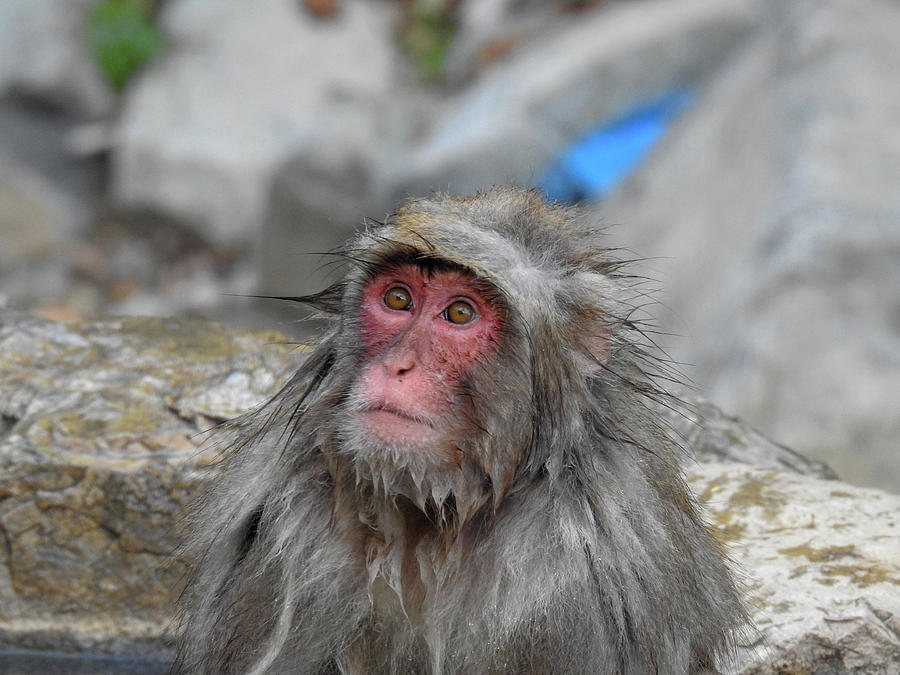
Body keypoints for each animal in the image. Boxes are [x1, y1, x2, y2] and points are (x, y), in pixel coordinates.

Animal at [174, 187, 744, 672]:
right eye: (398, 299)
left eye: (460, 313)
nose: (398, 366)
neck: (441, 515)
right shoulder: (285, 527)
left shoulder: (581, 585)